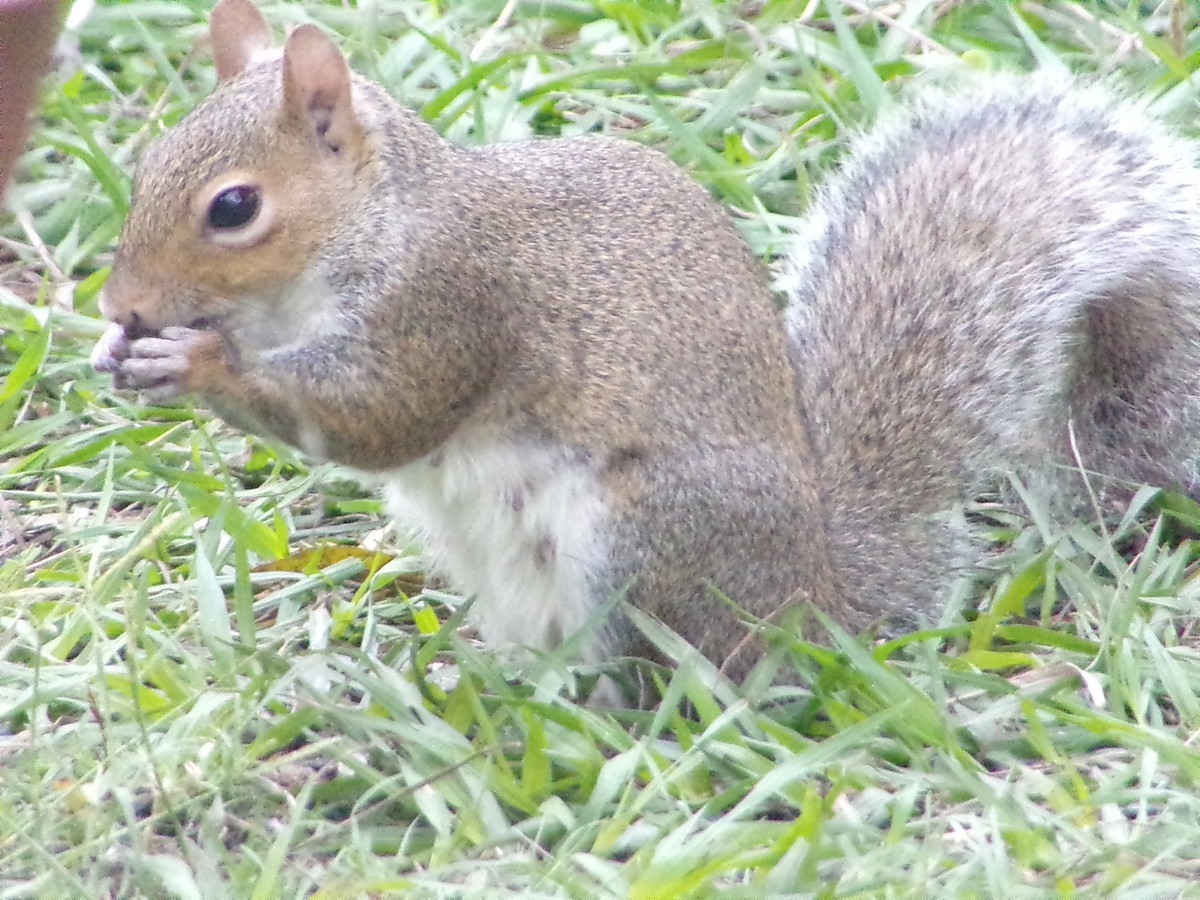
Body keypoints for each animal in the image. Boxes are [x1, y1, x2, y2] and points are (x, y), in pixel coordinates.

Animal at [92, 0, 1200, 693]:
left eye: (234, 207)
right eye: (147, 164)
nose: (124, 303)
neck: (372, 226)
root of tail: (813, 602)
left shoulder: (449, 307)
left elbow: (374, 415)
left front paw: (194, 364)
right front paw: (116, 351)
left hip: (642, 536)